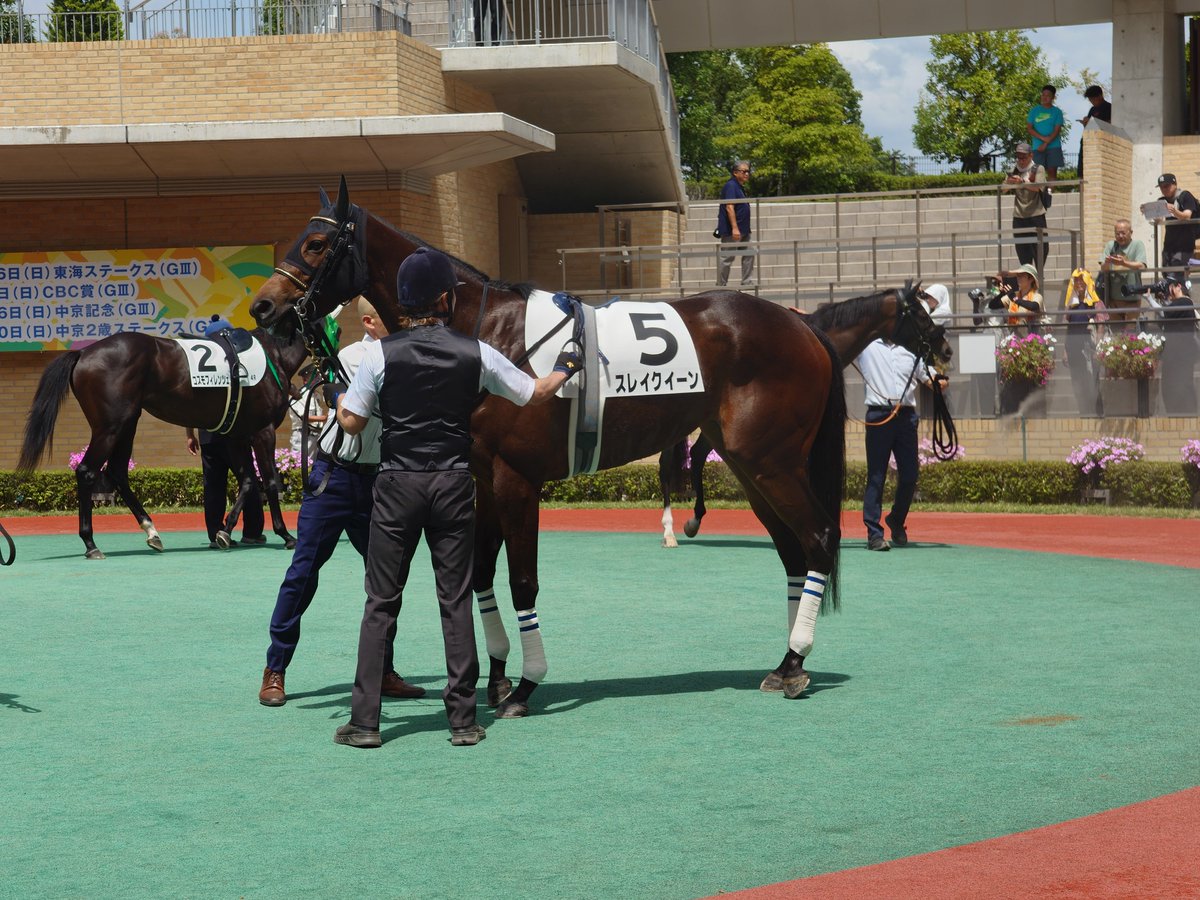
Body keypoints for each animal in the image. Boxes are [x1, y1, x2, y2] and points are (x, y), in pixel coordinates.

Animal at [17, 321, 316, 559]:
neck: (272, 355)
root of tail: (83, 353)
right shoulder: (262, 430)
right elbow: (270, 481)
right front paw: (286, 535)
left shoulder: (235, 434)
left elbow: (248, 480)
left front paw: (225, 530)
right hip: (110, 427)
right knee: (87, 471)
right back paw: (91, 543)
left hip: (128, 423)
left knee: (116, 472)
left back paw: (152, 532)